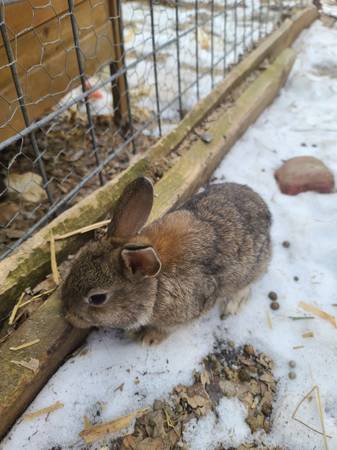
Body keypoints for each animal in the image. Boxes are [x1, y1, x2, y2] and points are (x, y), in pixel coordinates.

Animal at [61, 177, 272, 344]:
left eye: (97, 298)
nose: (69, 317)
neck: (154, 286)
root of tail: (264, 208)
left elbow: (165, 328)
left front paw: (149, 338)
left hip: (251, 270)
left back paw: (232, 305)